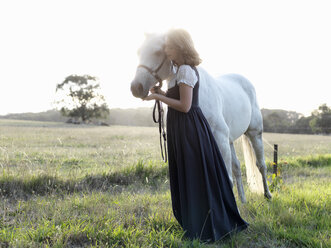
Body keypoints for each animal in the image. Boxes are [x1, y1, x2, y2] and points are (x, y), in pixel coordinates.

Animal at [130, 33, 272, 203]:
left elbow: (228, 181)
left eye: (157, 52)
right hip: (230, 140)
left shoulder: (220, 139)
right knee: (237, 167)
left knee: (261, 165)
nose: (136, 88)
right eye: (138, 52)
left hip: (254, 133)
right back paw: (243, 201)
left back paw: (267, 194)